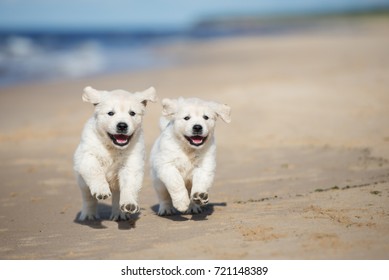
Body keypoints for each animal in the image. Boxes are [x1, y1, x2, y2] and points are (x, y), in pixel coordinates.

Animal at [74, 86, 156, 221]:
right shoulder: (86, 156)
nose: (122, 125)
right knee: (88, 198)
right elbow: (95, 170)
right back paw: (89, 215)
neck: (113, 147)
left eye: (132, 113)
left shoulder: (131, 164)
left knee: (117, 195)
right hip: (82, 181)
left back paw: (119, 214)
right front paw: (101, 190)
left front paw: (129, 203)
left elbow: (129, 185)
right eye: (111, 113)